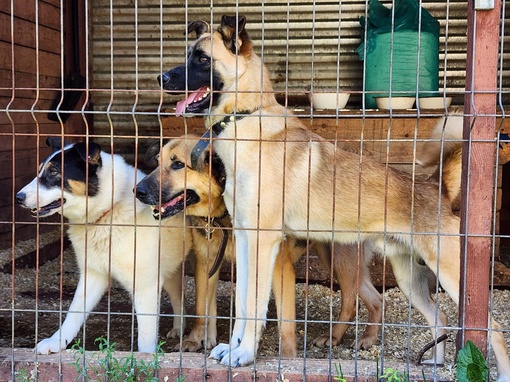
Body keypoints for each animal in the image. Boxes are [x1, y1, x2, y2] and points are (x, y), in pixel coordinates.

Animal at [134, 138, 382, 358]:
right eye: (158, 162)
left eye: (178, 164)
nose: (138, 191)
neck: (221, 216)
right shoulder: (206, 263)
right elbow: (201, 309)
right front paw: (196, 340)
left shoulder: (280, 269)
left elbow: (285, 322)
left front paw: (287, 357)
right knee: (377, 299)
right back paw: (368, 338)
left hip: (339, 260)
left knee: (350, 302)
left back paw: (334, 337)